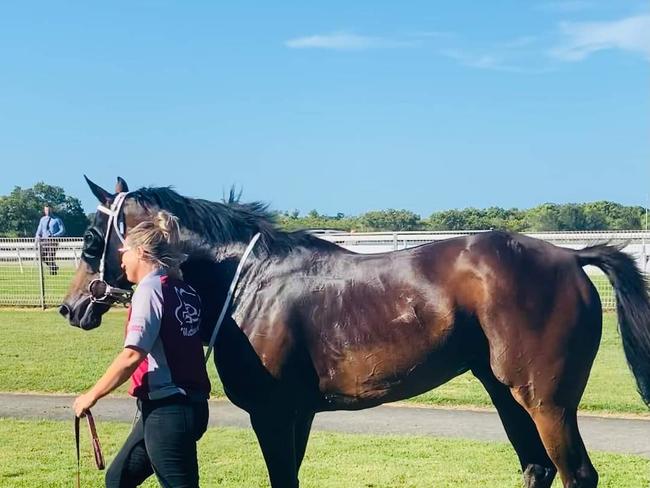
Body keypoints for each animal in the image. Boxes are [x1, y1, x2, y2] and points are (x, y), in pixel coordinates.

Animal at [62, 177, 648, 486]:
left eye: (89, 238)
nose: (71, 307)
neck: (249, 280)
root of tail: (570, 257)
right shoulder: (295, 415)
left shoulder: (272, 413)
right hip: (506, 393)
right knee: (536, 468)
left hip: (548, 402)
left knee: (576, 474)